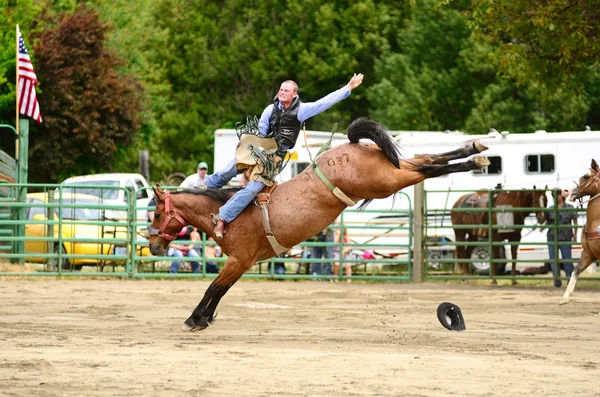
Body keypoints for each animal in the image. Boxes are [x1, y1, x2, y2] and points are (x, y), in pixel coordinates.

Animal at [148, 117, 490, 332]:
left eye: (156, 214)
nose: (152, 245)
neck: (225, 211)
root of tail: (349, 146)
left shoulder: (239, 260)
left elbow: (214, 288)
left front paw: (195, 319)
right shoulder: (242, 263)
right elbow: (220, 290)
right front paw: (203, 319)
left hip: (385, 181)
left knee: (427, 168)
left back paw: (474, 159)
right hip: (390, 169)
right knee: (426, 158)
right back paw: (473, 150)